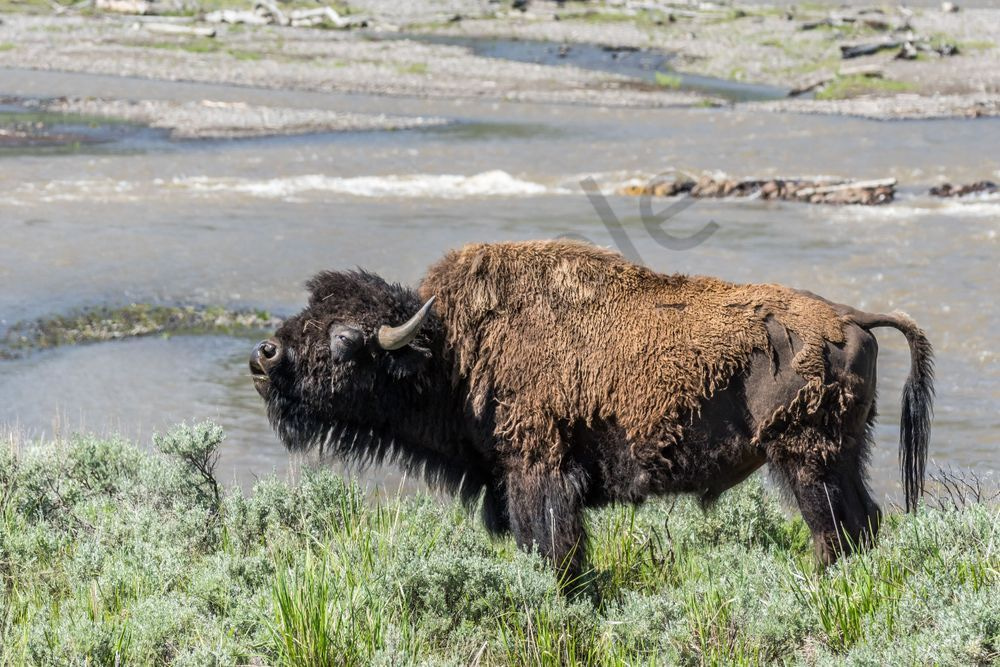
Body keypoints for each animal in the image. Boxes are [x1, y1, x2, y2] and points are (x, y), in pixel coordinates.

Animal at [249, 240, 933, 576]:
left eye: (345, 339)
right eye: (309, 309)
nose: (265, 355)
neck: (451, 351)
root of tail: (848, 315)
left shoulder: (538, 472)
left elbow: (555, 545)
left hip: (806, 459)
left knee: (833, 529)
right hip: (842, 455)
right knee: (863, 522)